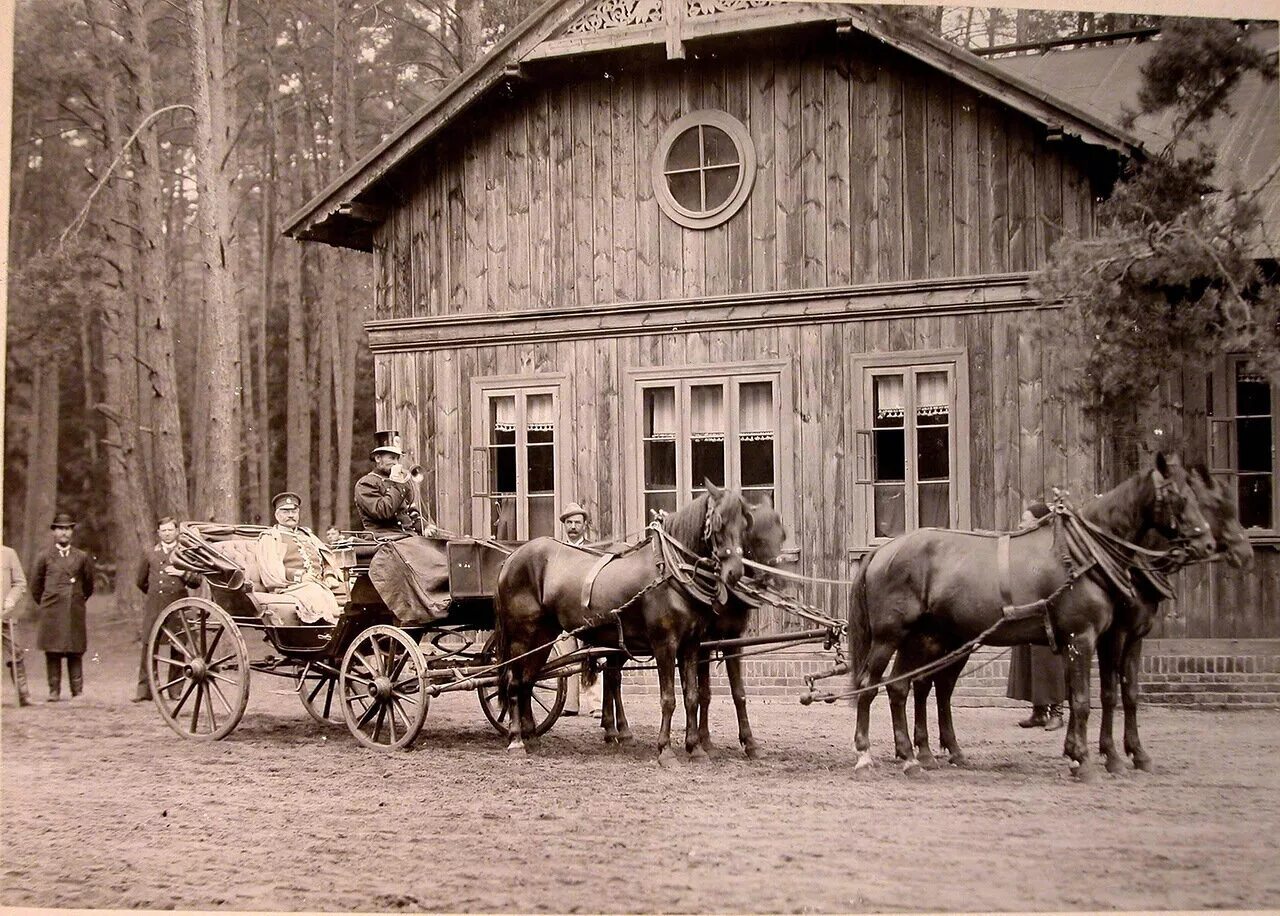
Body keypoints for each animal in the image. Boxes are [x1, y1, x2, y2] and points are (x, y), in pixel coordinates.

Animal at [488, 483, 747, 762]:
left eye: (744, 522)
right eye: (719, 522)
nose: (735, 572)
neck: (670, 571)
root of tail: (512, 558)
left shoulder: (691, 644)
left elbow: (692, 697)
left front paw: (696, 749)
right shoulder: (664, 645)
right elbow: (668, 698)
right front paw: (665, 750)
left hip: (543, 635)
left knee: (529, 679)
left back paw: (530, 734)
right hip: (521, 635)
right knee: (515, 681)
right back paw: (516, 738)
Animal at [844, 452, 1213, 777]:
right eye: (1178, 496)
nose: (1208, 544)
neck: (1085, 554)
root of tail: (883, 550)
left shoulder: (1111, 637)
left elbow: (1115, 694)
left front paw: (1110, 756)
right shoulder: (1084, 637)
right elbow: (1083, 699)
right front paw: (1086, 760)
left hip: (927, 639)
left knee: (904, 687)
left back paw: (913, 757)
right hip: (890, 637)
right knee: (870, 686)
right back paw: (865, 754)